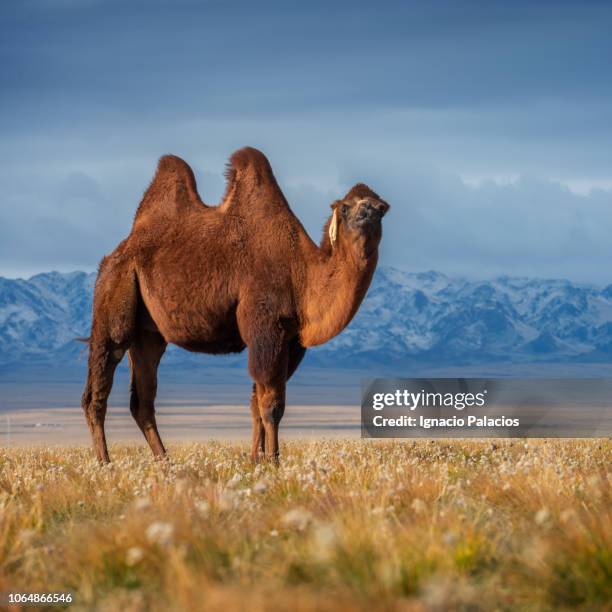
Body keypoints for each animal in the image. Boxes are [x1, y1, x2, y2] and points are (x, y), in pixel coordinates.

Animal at [81, 149, 390, 464]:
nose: (367, 212)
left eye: (380, 207)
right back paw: (105, 463)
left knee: (142, 400)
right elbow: (271, 405)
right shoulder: (265, 327)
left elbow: (257, 403)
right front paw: (273, 460)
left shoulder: (291, 342)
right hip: (115, 291)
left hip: (148, 334)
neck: (302, 273)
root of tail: (116, 253)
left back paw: (166, 463)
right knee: (98, 386)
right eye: (345, 208)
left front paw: (256, 460)